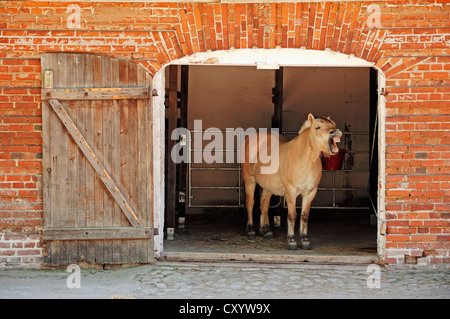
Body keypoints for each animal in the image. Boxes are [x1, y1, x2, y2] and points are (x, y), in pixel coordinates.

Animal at [243, 114, 342, 251]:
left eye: (333, 125)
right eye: (317, 127)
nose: (335, 132)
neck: (304, 160)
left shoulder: (310, 193)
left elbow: (304, 216)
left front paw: (305, 240)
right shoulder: (291, 192)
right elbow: (292, 215)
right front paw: (291, 241)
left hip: (268, 186)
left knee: (264, 204)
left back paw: (266, 230)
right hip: (249, 180)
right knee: (250, 203)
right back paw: (251, 230)